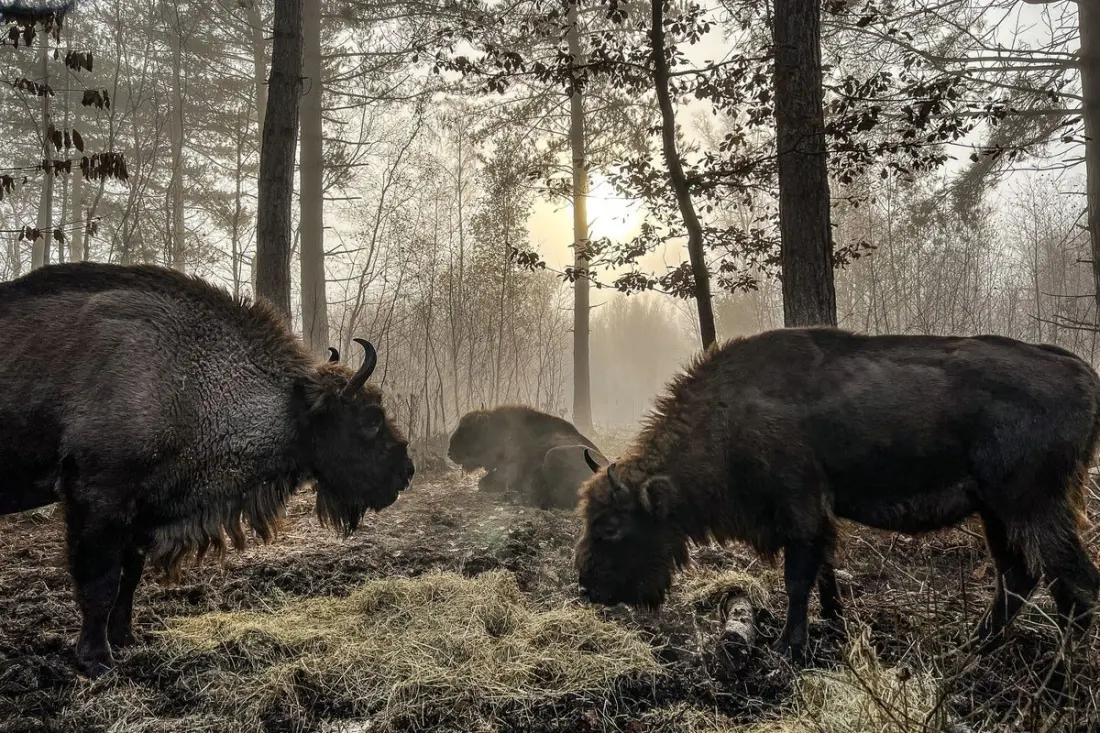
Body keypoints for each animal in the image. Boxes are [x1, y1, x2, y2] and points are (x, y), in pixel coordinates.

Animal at [0, 262, 414, 676]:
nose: (406, 471)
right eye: (371, 418)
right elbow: (99, 582)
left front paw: (125, 638)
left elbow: (129, 576)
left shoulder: (140, 510)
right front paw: (97, 659)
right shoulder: (98, 498)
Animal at [575, 327, 1100, 661]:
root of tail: (1082, 372)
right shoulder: (817, 519)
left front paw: (788, 647)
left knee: (1073, 583)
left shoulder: (800, 511)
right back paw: (972, 647)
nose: (589, 587)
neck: (729, 416)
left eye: (610, 526)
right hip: (996, 512)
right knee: (1019, 575)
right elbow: (824, 573)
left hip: (1032, 506)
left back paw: (1060, 672)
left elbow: (797, 578)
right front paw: (833, 624)